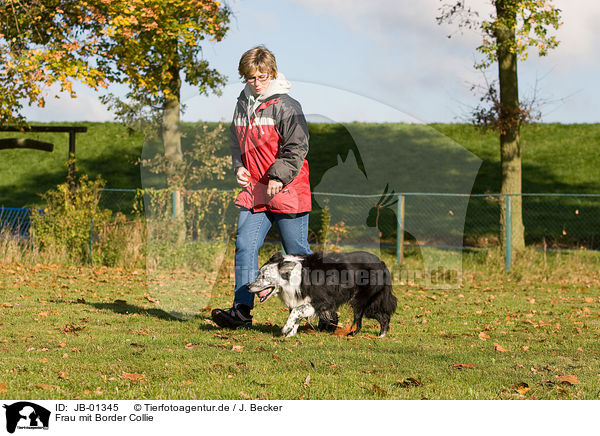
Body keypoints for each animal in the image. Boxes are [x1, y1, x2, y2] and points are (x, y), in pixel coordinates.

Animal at [246, 250, 396, 338]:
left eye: (264, 276)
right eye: (259, 274)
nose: (247, 286)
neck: (294, 275)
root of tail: (382, 263)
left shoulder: (323, 301)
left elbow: (295, 311)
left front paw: (286, 328)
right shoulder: (302, 299)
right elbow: (298, 315)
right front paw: (291, 334)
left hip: (360, 300)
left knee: (362, 321)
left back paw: (360, 334)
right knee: (383, 317)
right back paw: (379, 335)